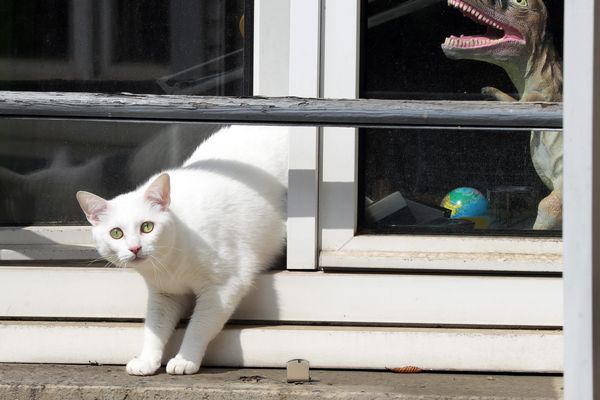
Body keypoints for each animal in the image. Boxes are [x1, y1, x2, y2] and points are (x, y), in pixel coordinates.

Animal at [75, 125, 288, 376]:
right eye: (116, 233)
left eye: (147, 227)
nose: (135, 248)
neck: (170, 264)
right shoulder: (164, 294)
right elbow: (154, 327)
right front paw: (146, 360)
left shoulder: (224, 286)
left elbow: (200, 326)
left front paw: (185, 360)